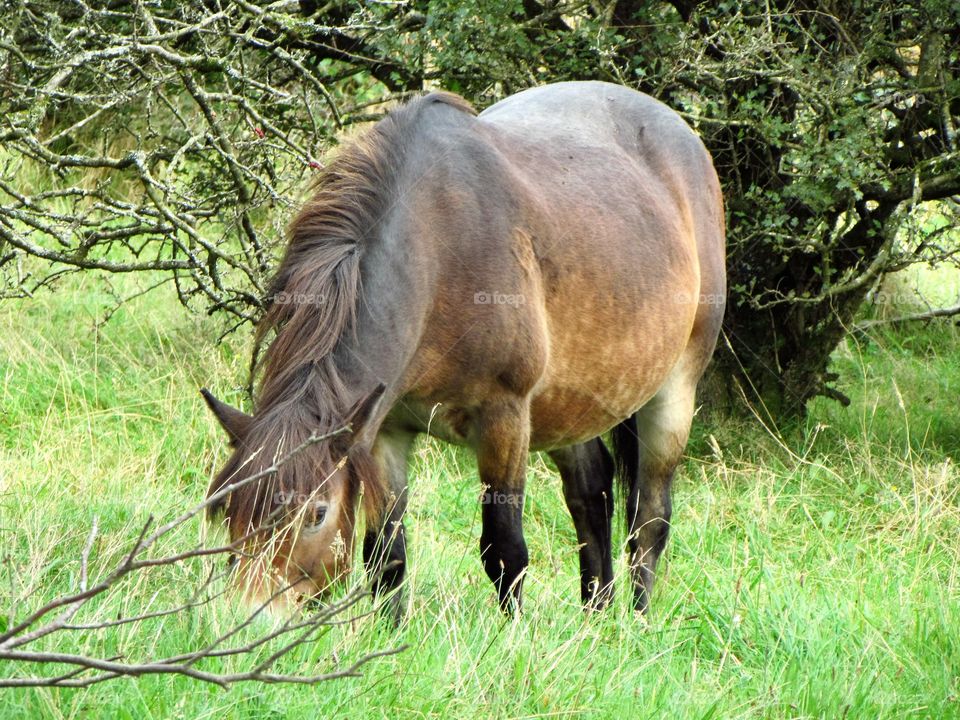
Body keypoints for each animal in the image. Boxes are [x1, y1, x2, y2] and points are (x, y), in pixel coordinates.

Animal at [204, 80, 728, 620]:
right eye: (226, 507)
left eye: (316, 514)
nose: (248, 615)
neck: (438, 251)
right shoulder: (386, 429)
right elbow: (386, 553)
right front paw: (390, 632)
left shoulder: (505, 418)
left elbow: (505, 550)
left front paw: (511, 634)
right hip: (571, 401)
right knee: (592, 493)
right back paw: (595, 619)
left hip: (672, 392)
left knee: (650, 519)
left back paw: (635, 621)